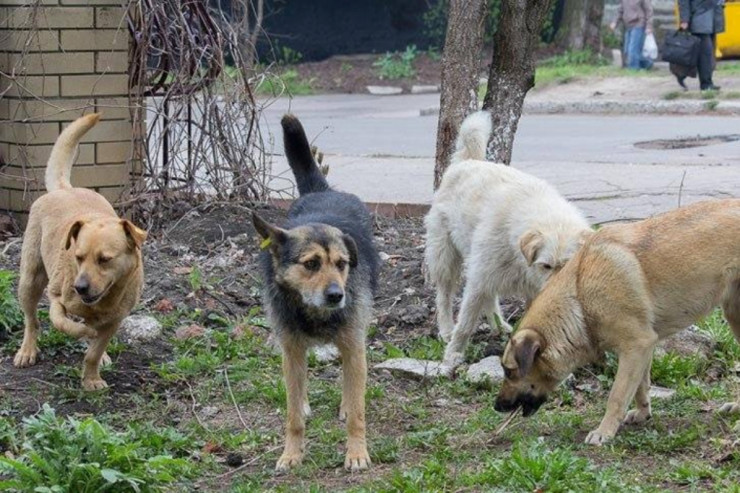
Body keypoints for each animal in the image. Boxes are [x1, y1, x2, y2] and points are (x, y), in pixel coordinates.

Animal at [14, 113, 146, 390]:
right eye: (78, 257)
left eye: (105, 260)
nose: (80, 287)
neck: (102, 301)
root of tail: (65, 189)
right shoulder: (56, 298)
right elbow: (63, 322)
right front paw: (82, 332)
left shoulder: (115, 320)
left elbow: (94, 351)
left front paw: (92, 378)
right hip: (30, 280)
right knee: (31, 320)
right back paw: (27, 350)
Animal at [254, 113, 382, 470]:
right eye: (311, 264)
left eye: (341, 264)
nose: (337, 295)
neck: (315, 312)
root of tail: (322, 190)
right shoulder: (292, 350)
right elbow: (293, 415)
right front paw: (291, 453)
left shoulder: (354, 345)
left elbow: (358, 411)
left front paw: (357, 452)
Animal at [424, 111, 592, 366]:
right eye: (546, 266)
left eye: (568, 265)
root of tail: (467, 161)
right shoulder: (478, 279)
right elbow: (465, 323)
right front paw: (453, 353)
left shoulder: (531, 290)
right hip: (446, 256)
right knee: (444, 295)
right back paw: (445, 329)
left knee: (490, 297)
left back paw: (499, 325)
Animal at [492, 198, 740, 444]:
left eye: (509, 372)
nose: (496, 406)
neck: (580, 296)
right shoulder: (643, 350)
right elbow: (640, 388)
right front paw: (642, 413)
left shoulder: (635, 347)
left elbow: (617, 395)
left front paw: (604, 431)